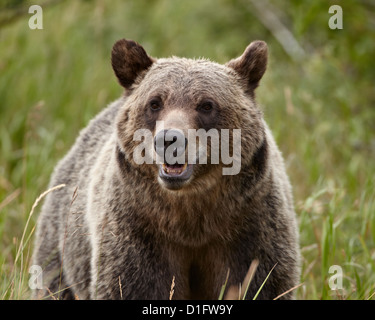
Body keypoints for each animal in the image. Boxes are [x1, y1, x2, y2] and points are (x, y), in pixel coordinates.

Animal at [33, 38, 302, 298]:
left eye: (206, 105)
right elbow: (132, 285)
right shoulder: (139, 231)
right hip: (61, 237)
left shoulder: (250, 228)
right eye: (155, 103)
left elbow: (259, 283)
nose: (169, 139)